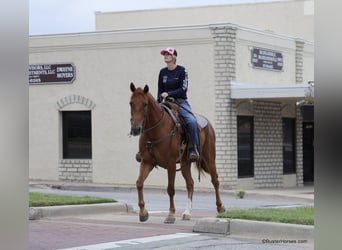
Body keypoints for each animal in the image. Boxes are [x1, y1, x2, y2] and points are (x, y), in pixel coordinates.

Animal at [129, 82, 224, 225]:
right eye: (131, 103)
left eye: (145, 104)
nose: (136, 129)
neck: (157, 130)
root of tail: (208, 124)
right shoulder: (147, 162)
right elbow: (139, 183)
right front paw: (143, 213)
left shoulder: (171, 164)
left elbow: (170, 188)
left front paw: (171, 214)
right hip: (185, 163)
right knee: (190, 184)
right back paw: (187, 212)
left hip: (209, 159)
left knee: (215, 181)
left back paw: (220, 207)